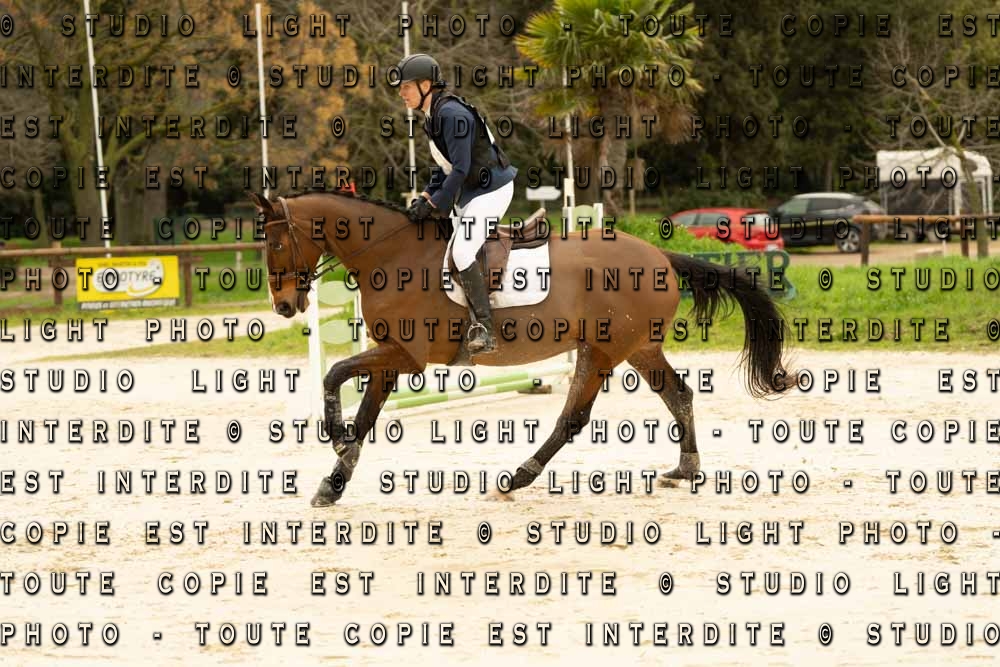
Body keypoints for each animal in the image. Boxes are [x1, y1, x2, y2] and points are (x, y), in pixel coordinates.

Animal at [249, 189, 796, 507]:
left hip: (605, 351)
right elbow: (364, 413)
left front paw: (335, 435)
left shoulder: (406, 357)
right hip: (636, 348)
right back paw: (685, 469)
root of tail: (660, 255)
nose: (284, 305)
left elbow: (334, 372)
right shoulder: (390, 357)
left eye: (274, 243)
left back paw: (517, 477)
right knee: (678, 394)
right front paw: (334, 480)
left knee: (573, 418)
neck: (390, 253)